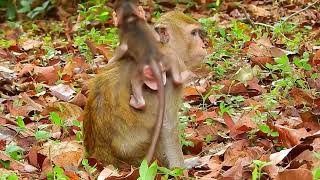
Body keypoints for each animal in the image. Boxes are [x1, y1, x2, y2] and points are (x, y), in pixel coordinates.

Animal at [83, 10, 208, 168]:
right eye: (193, 33)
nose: (203, 46)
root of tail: (99, 156)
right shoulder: (171, 80)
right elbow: (168, 126)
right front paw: (181, 167)